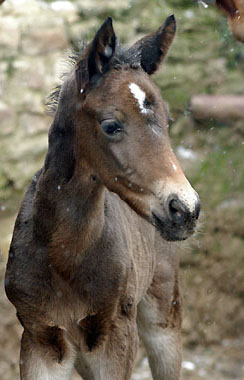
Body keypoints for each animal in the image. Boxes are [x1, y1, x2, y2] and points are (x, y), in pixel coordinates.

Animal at [5, 15, 200, 380]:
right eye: (111, 125)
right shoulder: (40, 340)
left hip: (163, 315)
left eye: (167, 121)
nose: (186, 208)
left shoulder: (116, 338)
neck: (65, 256)